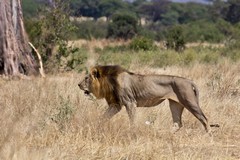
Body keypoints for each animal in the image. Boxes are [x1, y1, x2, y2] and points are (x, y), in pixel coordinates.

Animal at [79, 64, 214, 132]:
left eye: (86, 78)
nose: (78, 84)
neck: (109, 82)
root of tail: (189, 81)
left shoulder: (130, 102)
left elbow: (132, 120)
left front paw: (133, 132)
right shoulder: (115, 105)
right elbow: (103, 117)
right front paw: (95, 126)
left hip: (189, 102)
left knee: (205, 119)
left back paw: (208, 135)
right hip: (175, 103)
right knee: (177, 123)